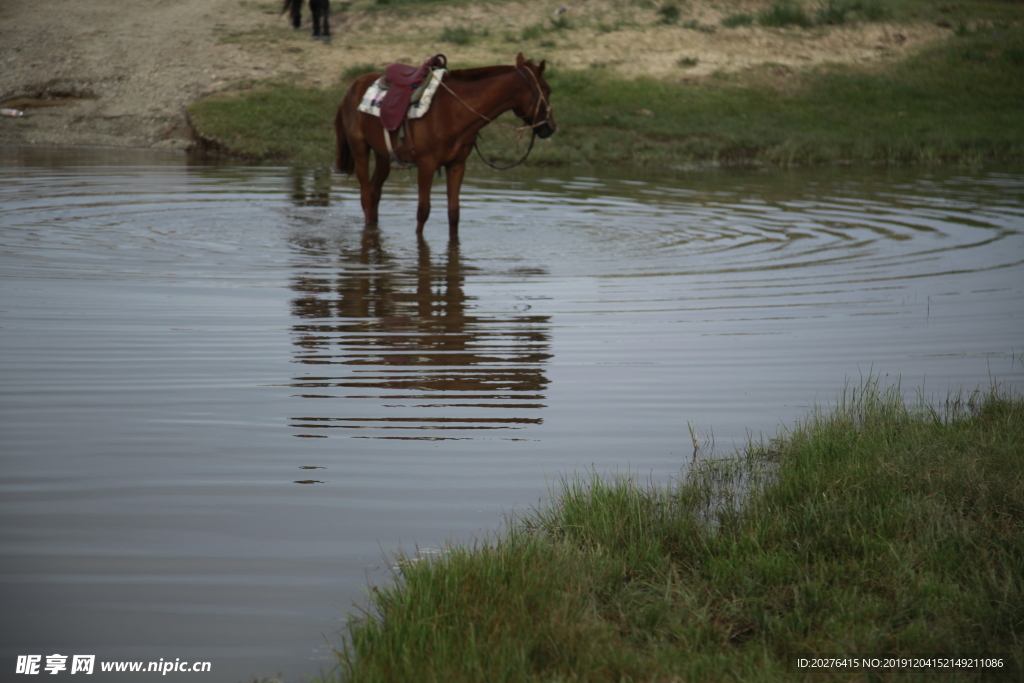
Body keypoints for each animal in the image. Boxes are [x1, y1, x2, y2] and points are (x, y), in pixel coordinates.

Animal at [333, 51, 557, 237]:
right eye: (547, 90)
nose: (551, 128)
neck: (452, 110)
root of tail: (351, 88)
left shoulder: (457, 165)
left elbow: (454, 213)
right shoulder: (427, 164)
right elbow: (423, 210)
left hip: (383, 156)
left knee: (374, 193)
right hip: (360, 150)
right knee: (366, 196)